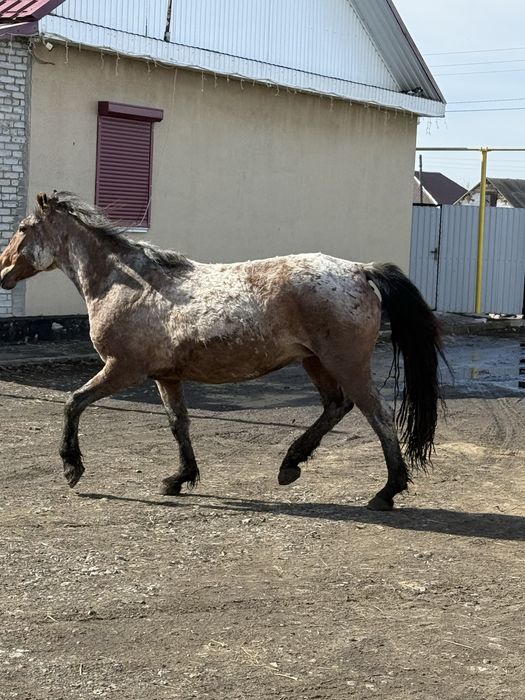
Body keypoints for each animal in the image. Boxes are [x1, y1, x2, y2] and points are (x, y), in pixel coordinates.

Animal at [0, 192, 445, 510]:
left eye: (22, 227)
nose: (2, 270)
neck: (128, 284)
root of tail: (360, 270)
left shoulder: (123, 369)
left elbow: (73, 402)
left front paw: (71, 467)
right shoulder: (166, 377)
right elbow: (178, 424)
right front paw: (179, 479)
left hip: (345, 363)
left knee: (378, 415)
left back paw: (386, 492)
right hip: (315, 361)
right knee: (336, 407)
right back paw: (290, 465)